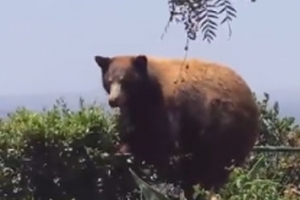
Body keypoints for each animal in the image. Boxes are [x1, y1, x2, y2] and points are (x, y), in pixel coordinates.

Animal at [94, 54, 260, 199]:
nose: (113, 100)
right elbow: (137, 129)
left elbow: (158, 139)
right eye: (109, 81)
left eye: (125, 81)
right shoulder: (139, 108)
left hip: (225, 126)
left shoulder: (164, 104)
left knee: (212, 162)